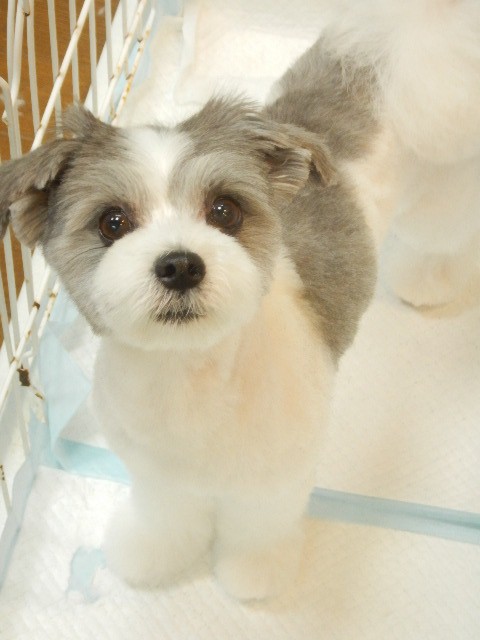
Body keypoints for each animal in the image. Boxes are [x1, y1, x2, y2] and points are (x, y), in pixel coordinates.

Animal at [1, 0, 478, 600]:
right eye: (112, 222)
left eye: (225, 211)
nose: (180, 264)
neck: (189, 377)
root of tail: (413, 28)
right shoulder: (159, 474)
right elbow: (167, 516)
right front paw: (154, 555)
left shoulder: (272, 479)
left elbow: (259, 527)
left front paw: (253, 572)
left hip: (441, 181)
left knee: (443, 236)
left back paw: (428, 279)